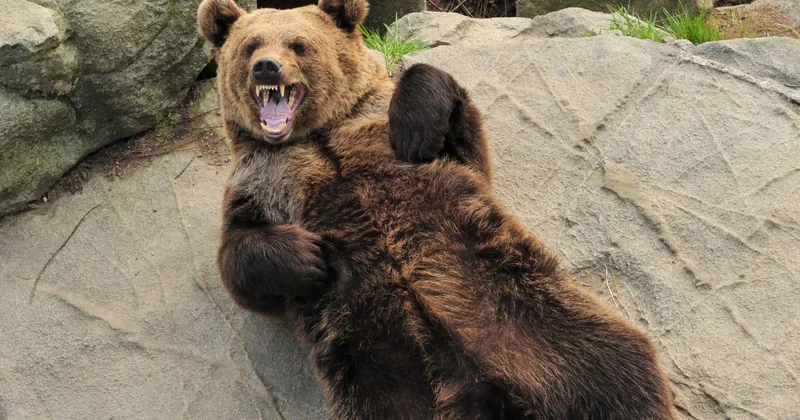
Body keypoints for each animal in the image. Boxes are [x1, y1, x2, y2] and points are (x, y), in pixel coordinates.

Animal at [197, 0, 676, 418]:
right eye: (250, 45)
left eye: (299, 44)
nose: (267, 66)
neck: (318, 137)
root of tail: (484, 388)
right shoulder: (262, 183)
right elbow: (240, 259)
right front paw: (309, 257)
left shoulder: (391, 136)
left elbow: (451, 124)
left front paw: (414, 127)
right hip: (382, 373)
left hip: (538, 322)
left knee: (616, 375)